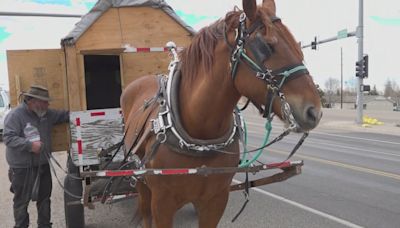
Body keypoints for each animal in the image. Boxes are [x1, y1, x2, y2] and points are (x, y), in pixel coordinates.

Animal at [119, 0, 322, 227]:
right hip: (141, 181)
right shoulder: (162, 204)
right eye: (266, 46)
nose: (315, 112)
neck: (199, 136)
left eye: (297, 46)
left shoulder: (215, 201)